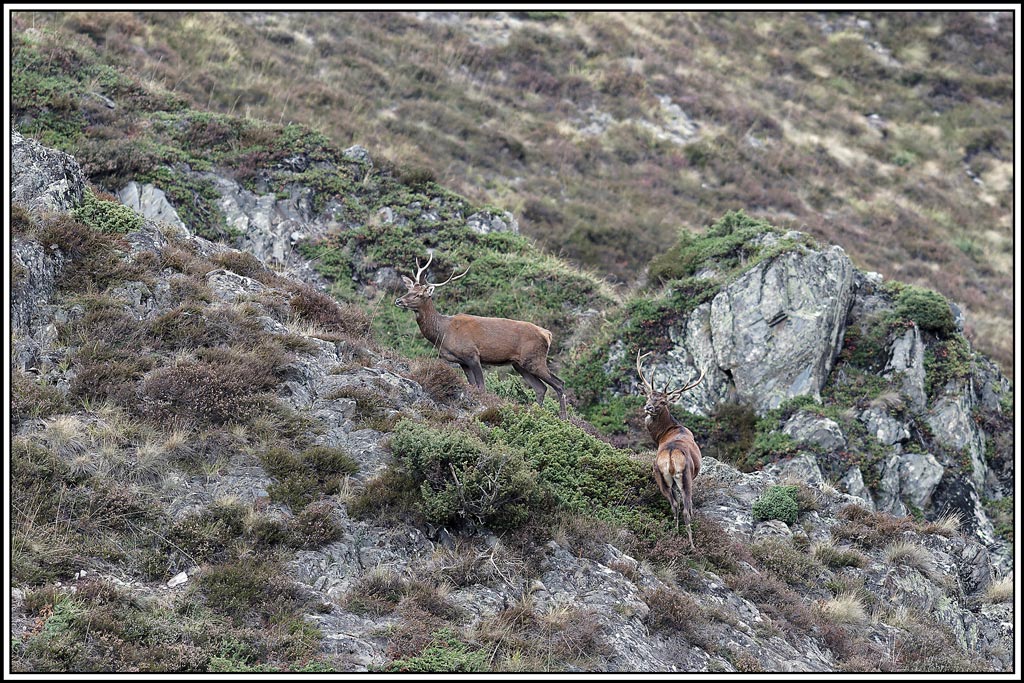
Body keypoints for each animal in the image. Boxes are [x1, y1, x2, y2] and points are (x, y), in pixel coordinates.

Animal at [395, 252, 568, 419]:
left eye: (419, 294)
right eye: (408, 290)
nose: (398, 301)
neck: (442, 332)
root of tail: (547, 334)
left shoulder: (472, 354)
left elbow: (482, 387)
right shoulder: (462, 361)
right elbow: (472, 386)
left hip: (535, 359)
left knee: (559, 384)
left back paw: (562, 417)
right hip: (520, 364)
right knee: (541, 388)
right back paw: (536, 413)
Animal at [636, 349, 705, 550]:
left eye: (663, 402)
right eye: (648, 396)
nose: (648, 407)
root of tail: (670, 458)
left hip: (661, 476)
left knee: (674, 505)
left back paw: (674, 534)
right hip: (686, 476)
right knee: (686, 509)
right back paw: (691, 545)